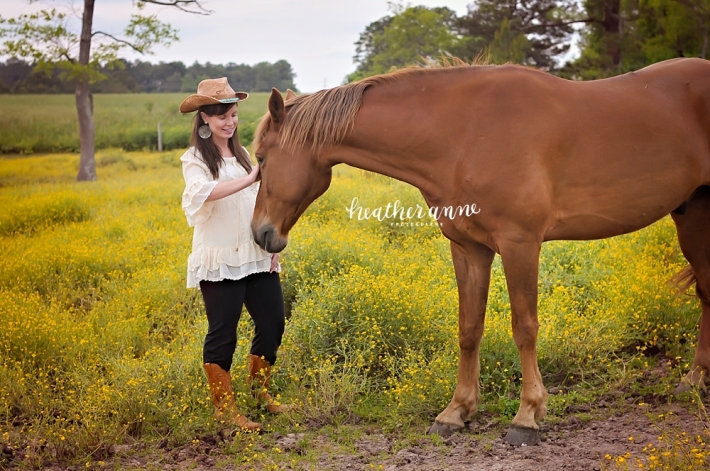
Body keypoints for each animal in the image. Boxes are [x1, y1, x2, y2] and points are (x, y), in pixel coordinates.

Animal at [252, 58, 710, 446]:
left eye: (260, 158)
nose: (261, 233)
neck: (465, 134)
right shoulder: (469, 248)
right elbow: (469, 328)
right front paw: (456, 412)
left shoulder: (520, 243)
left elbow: (524, 327)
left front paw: (527, 417)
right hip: (692, 215)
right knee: (706, 293)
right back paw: (694, 380)